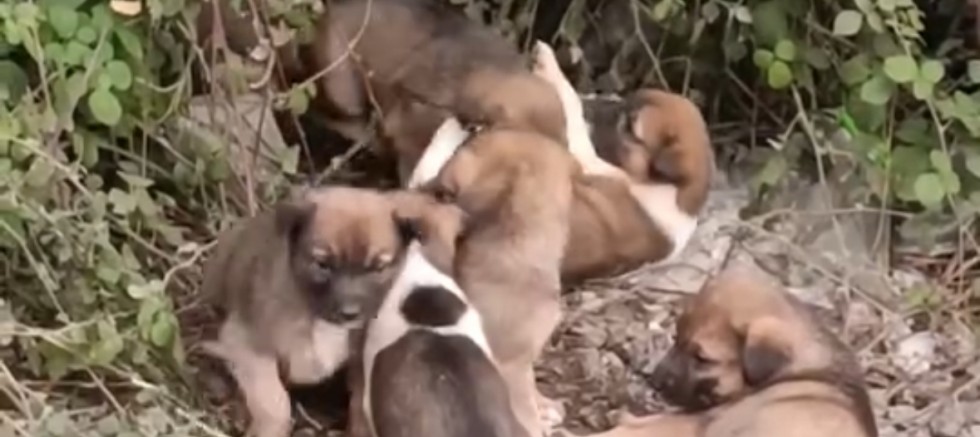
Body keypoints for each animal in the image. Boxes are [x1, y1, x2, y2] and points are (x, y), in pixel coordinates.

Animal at [199, 186, 424, 437]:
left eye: (378, 267)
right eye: (322, 264)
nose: (349, 314)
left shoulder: (360, 363)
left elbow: (360, 405)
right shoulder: (246, 342)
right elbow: (274, 400)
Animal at [531, 41, 715, 283]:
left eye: (630, 127)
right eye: (626, 100)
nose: (591, 102)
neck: (674, 193)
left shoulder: (589, 162)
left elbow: (574, 116)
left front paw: (547, 62)